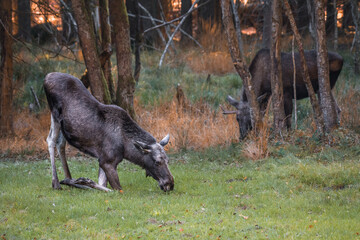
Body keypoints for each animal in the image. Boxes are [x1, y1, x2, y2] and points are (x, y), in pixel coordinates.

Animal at [43, 72, 175, 192]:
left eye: (168, 160)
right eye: (157, 162)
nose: (170, 184)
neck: (126, 149)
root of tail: (47, 76)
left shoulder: (102, 160)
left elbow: (102, 185)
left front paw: (76, 182)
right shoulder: (107, 161)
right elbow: (116, 189)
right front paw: (84, 181)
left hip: (63, 124)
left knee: (61, 143)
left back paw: (68, 178)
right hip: (55, 114)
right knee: (51, 140)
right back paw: (56, 183)